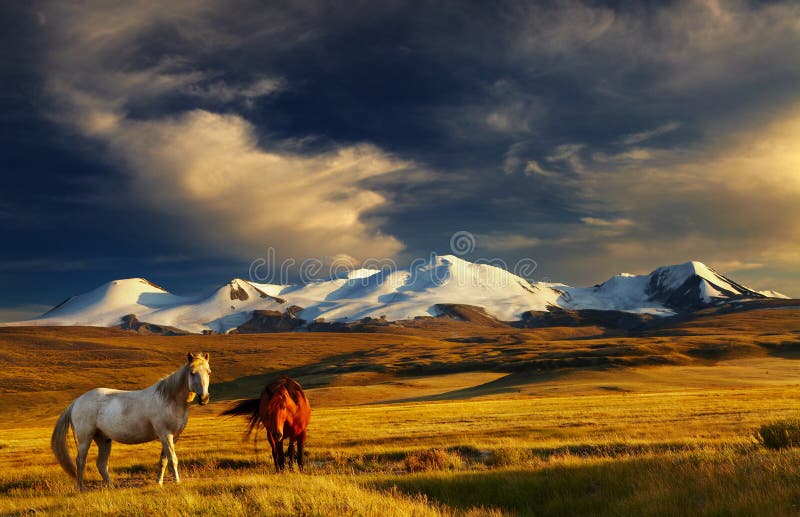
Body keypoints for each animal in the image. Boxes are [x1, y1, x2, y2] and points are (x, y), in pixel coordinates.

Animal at [50, 350, 212, 488]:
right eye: (192, 372)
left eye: (209, 372)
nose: (204, 398)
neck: (169, 399)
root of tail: (77, 401)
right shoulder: (165, 434)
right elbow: (173, 459)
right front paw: (177, 482)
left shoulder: (173, 436)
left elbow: (164, 460)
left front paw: (159, 482)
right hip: (85, 438)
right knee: (80, 461)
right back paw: (81, 488)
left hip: (103, 439)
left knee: (101, 464)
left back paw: (111, 487)